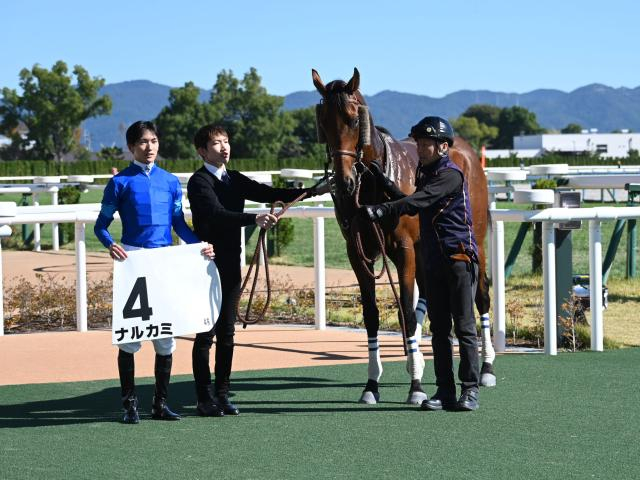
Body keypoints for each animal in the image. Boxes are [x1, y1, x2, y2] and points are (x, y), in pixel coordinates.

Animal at [310, 68, 496, 404]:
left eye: (353, 119)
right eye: (324, 122)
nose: (344, 183)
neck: (370, 188)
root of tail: (466, 151)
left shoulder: (404, 250)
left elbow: (406, 313)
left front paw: (417, 387)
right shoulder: (358, 254)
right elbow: (373, 315)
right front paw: (372, 384)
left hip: (473, 237)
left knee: (481, 293)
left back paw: (486, 367)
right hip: (427, 248)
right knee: (428, 298)